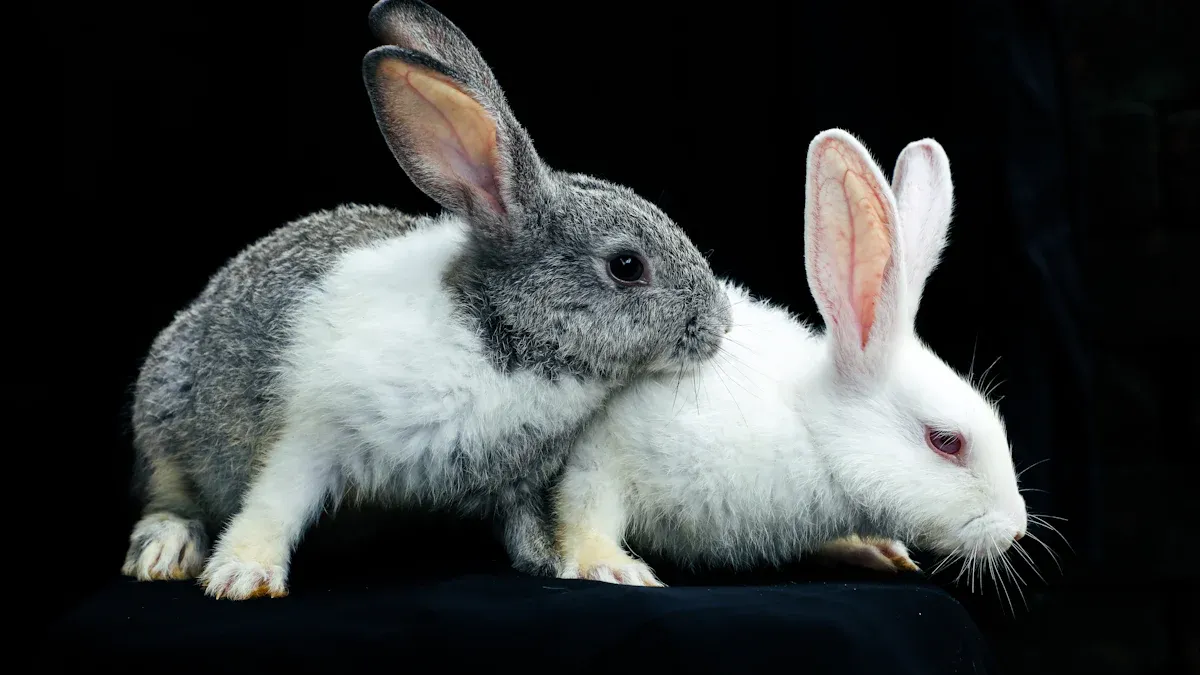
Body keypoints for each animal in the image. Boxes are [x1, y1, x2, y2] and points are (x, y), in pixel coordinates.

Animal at [120, 0, 732, 601]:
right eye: (626, 266)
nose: (719, 327)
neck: (500, 337)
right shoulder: (311, 435)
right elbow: (274, 504)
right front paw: (244, 575)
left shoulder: (520, 483)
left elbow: (537, 535)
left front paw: (600, 567)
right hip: (163, 418)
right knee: (169, 496)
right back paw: (165, 550)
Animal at [553, 129, 1028, 587]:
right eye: (946, 441)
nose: (1016, 529)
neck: (814, 433)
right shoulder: (604, 449)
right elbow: (583, 509)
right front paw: (611, 567)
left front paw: (875, 550)